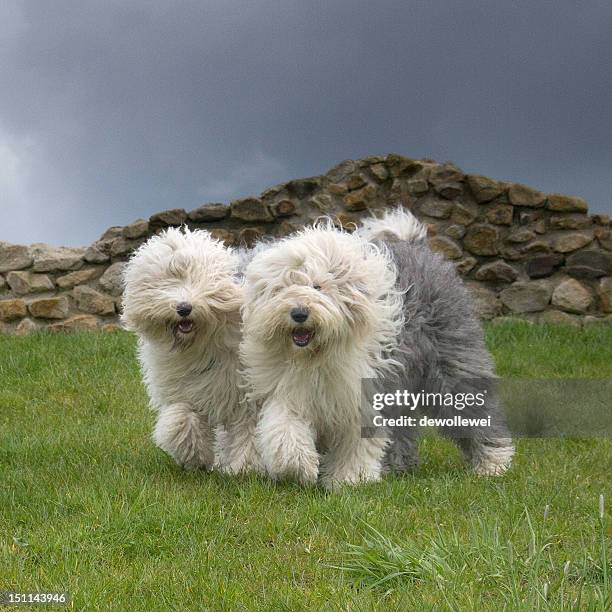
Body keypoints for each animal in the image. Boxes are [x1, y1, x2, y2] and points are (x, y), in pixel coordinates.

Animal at [121, 227, 260, 470]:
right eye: (167, 281)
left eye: (197, 278)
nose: (184, 308)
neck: (200, 344)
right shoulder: (184, 387)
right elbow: (182, 415)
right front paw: (194, 454)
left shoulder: (245, 391)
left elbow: (248, 428)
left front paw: (245, 467)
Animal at [240, 224, 406, 488]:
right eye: (283, 287)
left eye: (318, 287)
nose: (299, 313)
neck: (314, 358)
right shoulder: (289, 391)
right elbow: (285, 427)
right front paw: (300, 467)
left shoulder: (357, 397)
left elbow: (357, 440)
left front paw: (350, 478)